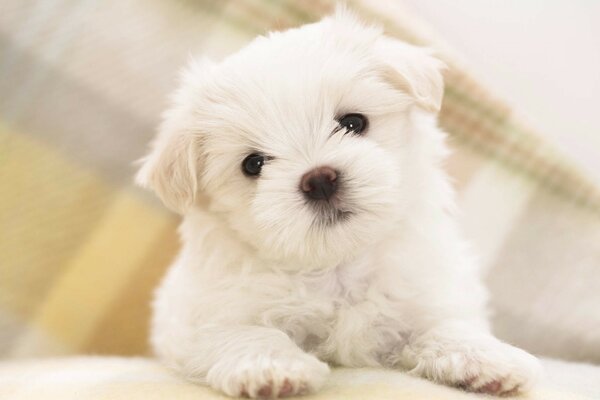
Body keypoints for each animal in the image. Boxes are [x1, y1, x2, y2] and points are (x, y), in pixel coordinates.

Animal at [138, 9, 540, 400]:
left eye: (352, 123)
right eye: (253, 164)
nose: (319, 179)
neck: (337, 265)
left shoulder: (429, 290)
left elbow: (443, 325)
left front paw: (488, 357)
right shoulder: (197, 319)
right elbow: (243, 332)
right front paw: (271, 367)